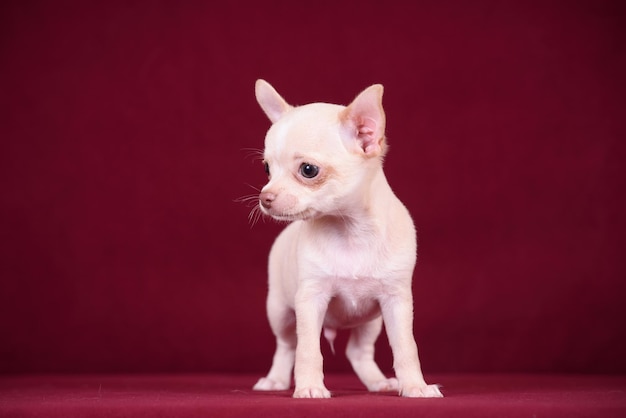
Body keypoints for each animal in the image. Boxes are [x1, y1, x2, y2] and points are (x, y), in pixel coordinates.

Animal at [251, 79, 442, 398]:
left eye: (308, 170)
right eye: (267, 169)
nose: (265, 197)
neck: (350, 231)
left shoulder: (397, 301)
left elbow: (406, 348)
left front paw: (416, 386)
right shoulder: (309, 299)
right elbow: (308, 350)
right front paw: (310, 387)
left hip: (371, 322)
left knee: (358, 351)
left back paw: (378, 382)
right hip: (279, 310)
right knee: (287, 345)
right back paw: (275, 380)